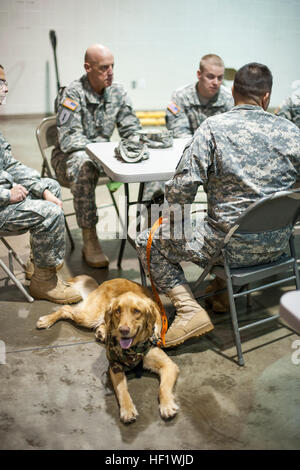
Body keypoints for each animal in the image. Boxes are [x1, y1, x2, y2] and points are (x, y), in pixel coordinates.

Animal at [36, 274, 179, 424]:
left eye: (136, 311)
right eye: (118, 311)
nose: (123, 330)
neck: (133, 349)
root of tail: (110, 280)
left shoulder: (169, 365)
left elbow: (163, 388)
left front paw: (167, 406)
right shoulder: (114, 367)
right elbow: (122, 390)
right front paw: (127, 410)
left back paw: (102, 332)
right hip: (88, 316)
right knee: (66, 308)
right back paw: (46, 320)